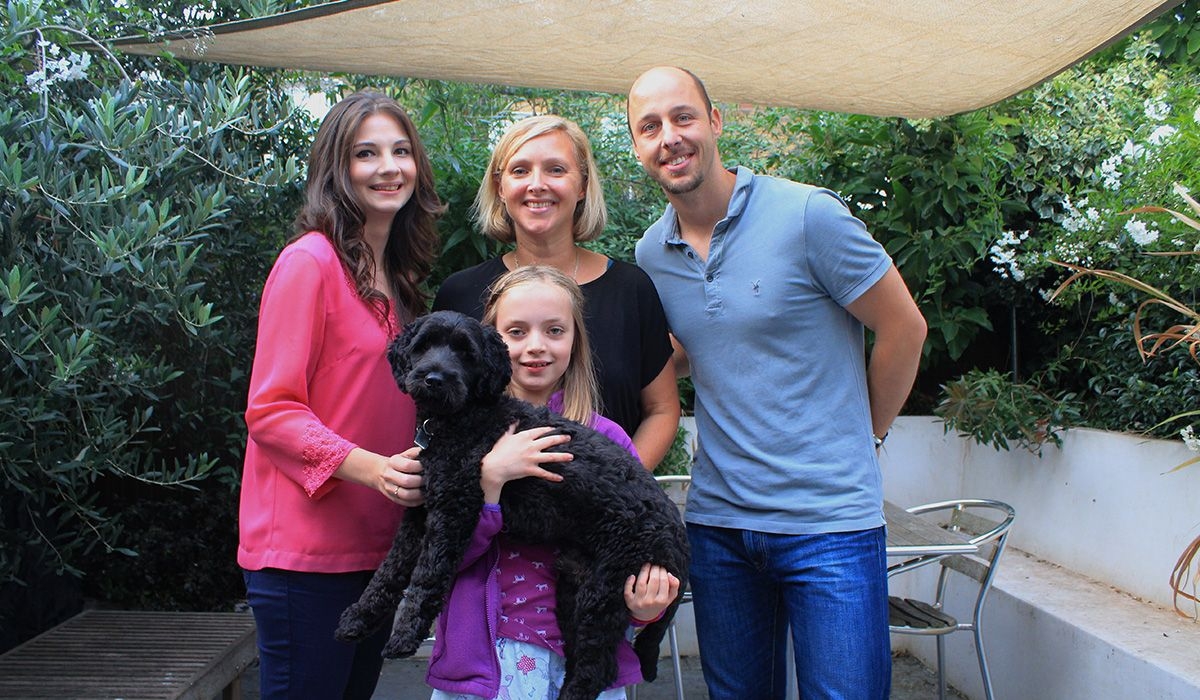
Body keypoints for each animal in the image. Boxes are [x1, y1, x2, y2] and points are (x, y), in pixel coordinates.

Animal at [338, 312, 691, 700]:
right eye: (424, 346)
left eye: (466, 353)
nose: (433, 379)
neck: (462, 418)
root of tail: (677, 536)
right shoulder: (418, 514)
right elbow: (389, 571)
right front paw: (359, 616)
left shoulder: (452, 512)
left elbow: (425, 577)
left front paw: (404, 635)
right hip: (574, 587)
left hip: (603, 594)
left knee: (597, 669)